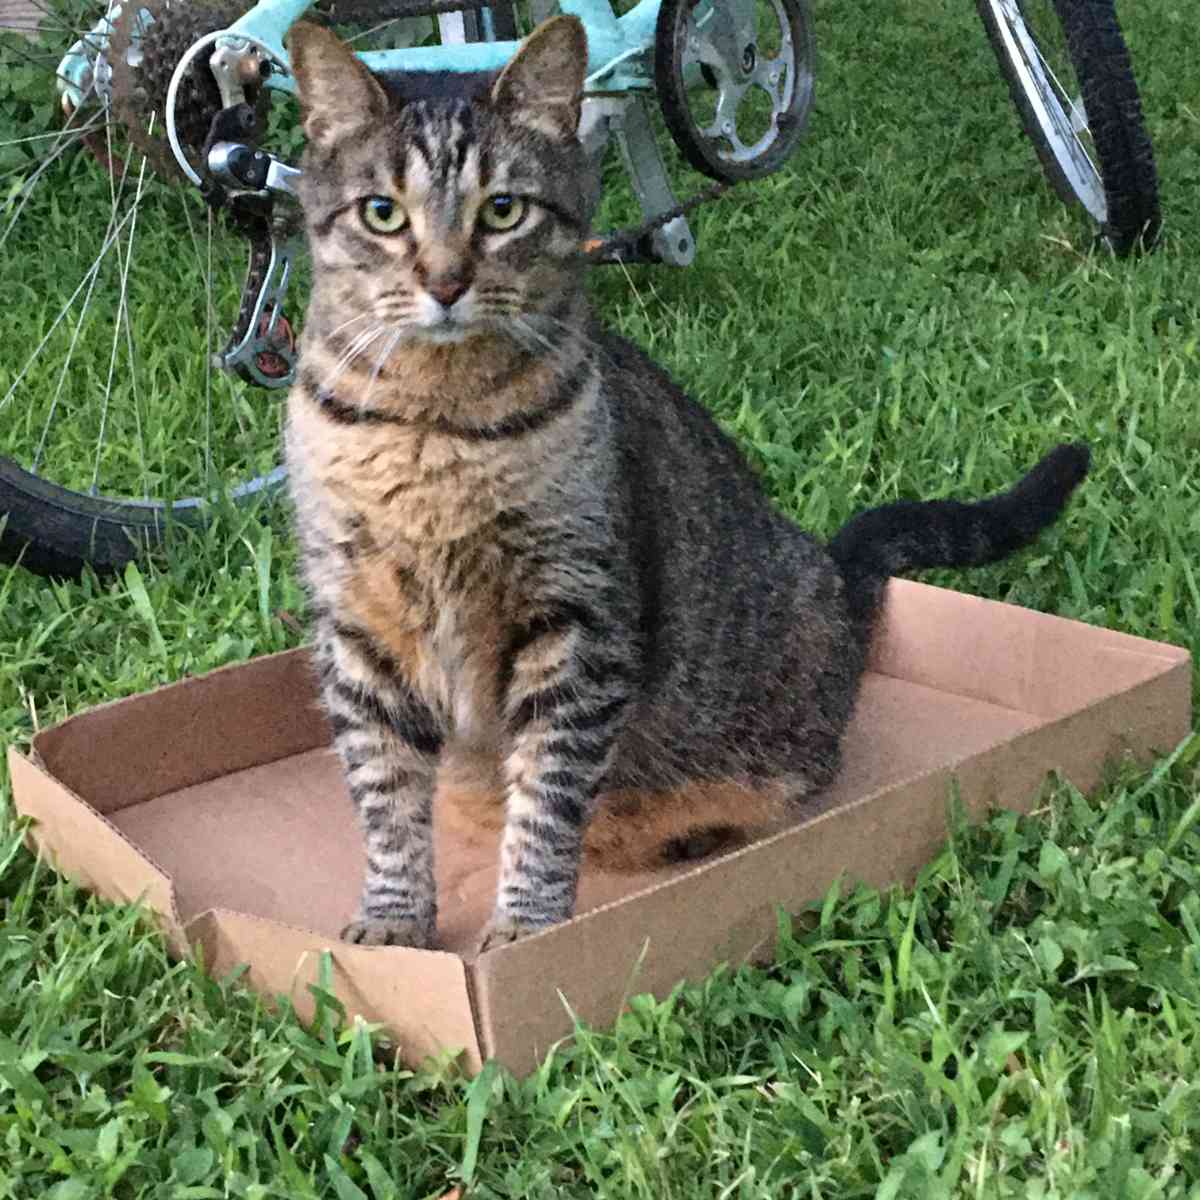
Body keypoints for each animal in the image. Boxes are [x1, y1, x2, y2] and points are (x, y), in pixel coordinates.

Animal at [283, 14, 1089, 950]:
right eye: (383, 214)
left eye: (503, 210)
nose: (446, 282)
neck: (431, 427)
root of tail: (833, 575)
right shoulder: (357, 628)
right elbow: (385, 797)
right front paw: (394, 919)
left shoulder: (578, 625)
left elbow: (547, 802)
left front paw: (528, 929)